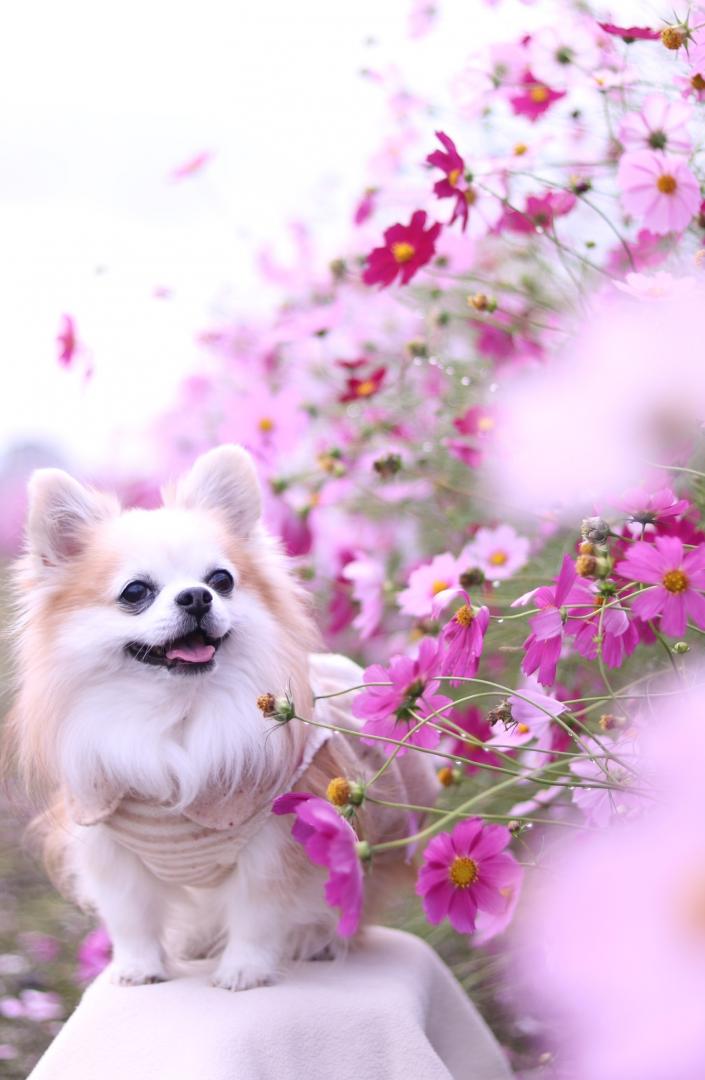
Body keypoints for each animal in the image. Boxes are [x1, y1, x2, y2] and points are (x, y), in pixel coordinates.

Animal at [5, 444, 434, 989]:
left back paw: (318, 942)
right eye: (135, 592)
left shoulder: (276, 843)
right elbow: (131, 916)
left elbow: (258, 913)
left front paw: (244, 970)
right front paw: (138, 968)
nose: (196, 596)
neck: (177, 718)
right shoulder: (112, 848)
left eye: (221, 581)